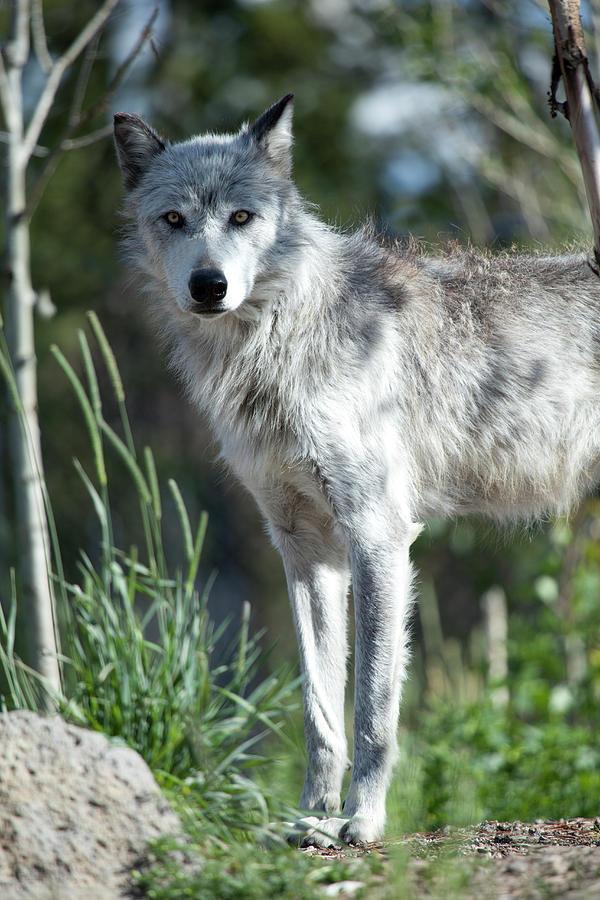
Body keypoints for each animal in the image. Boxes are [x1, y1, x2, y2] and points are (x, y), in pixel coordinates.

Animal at [112, 95, 600, 848]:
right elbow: (320, 710)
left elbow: (373, 707)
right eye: (173, 220)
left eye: (241, 218)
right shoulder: (304, 548)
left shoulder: (378, 536)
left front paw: (362, 820)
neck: (278, 344)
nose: (208, 285)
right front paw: (312, 816)